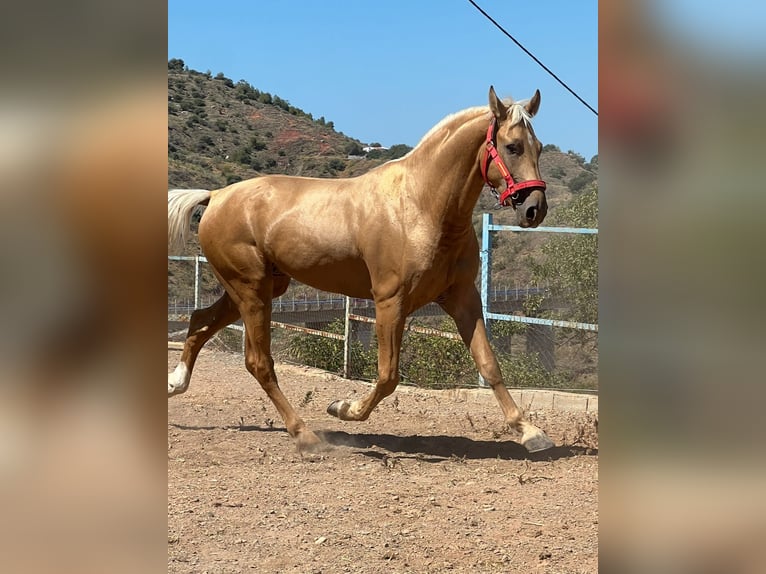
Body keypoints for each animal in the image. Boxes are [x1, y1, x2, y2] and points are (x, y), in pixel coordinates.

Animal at [168, 86, 554, 453]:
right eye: (512, 146)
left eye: (539, 147)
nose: (535, 209)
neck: (421, 205)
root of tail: (216, 196)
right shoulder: (389, 302)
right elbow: (387, 375)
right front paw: (342, 407)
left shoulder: (462, 297)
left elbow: (489, 364)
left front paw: (531, 432)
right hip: (251, 290)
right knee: (258, 362)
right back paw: (306, 436)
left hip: (259, 288)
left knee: (199, 321)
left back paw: (175, 383)